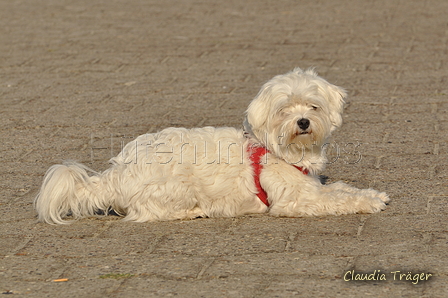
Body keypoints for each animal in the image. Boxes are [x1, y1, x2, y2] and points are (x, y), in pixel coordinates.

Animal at [34, 68, 388, 224]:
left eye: (313, 106)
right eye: (284, 110)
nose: (302, 122)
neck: (279, 151)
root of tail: (115, 174)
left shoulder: (311, 186)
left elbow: (341, 189)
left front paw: (372, 195)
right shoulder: (297, 201)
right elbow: (336, 200)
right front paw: (366, 202)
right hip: (173, 188)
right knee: (149, 213)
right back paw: (196, 211)